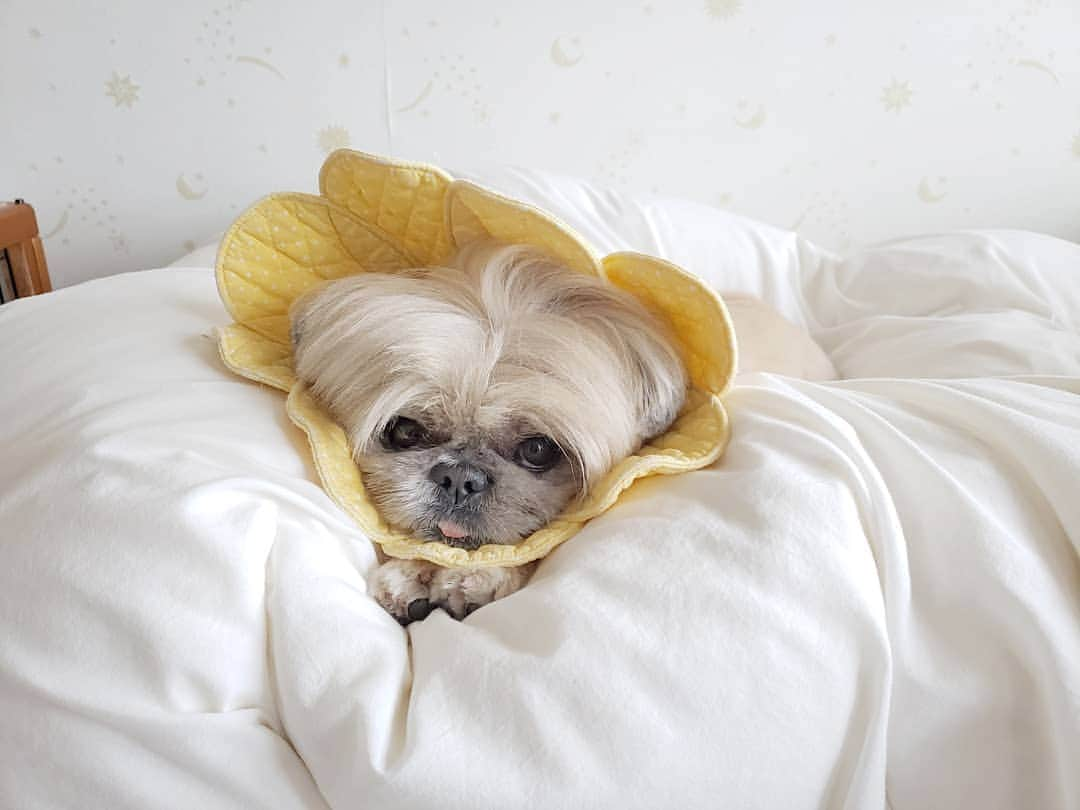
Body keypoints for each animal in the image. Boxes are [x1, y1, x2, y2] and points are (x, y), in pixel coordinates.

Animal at [289, 240, 833, 626]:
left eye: (537, 449)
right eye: (404, 431)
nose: (461, 478)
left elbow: (535, 547)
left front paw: (479, 576)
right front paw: (409, 573)